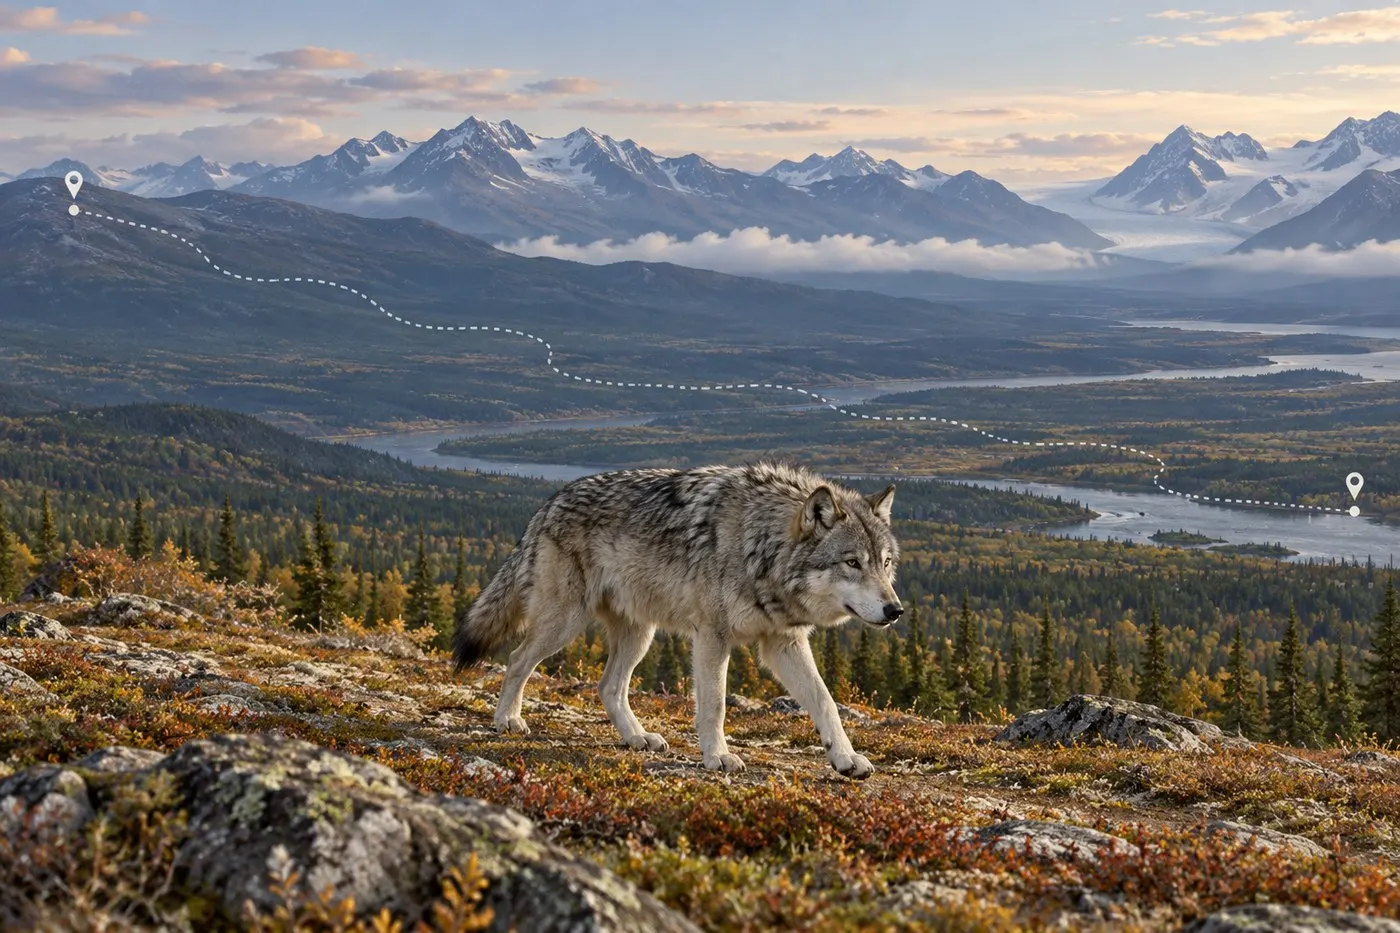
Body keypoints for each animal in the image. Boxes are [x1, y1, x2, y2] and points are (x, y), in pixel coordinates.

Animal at [452, 460, 902, 779]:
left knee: (608, 686)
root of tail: (547, 504)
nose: (895, 610)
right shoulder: (712, 636)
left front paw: (846, 759)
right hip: (565, 623)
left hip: (640, 635)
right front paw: (718, 757)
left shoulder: (783, 642)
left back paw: (637, 738)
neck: (760, 546)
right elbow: (715, 705)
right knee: (517, 660)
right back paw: (507, 720)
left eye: (885, 563)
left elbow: (825, 702)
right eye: (852, 563)